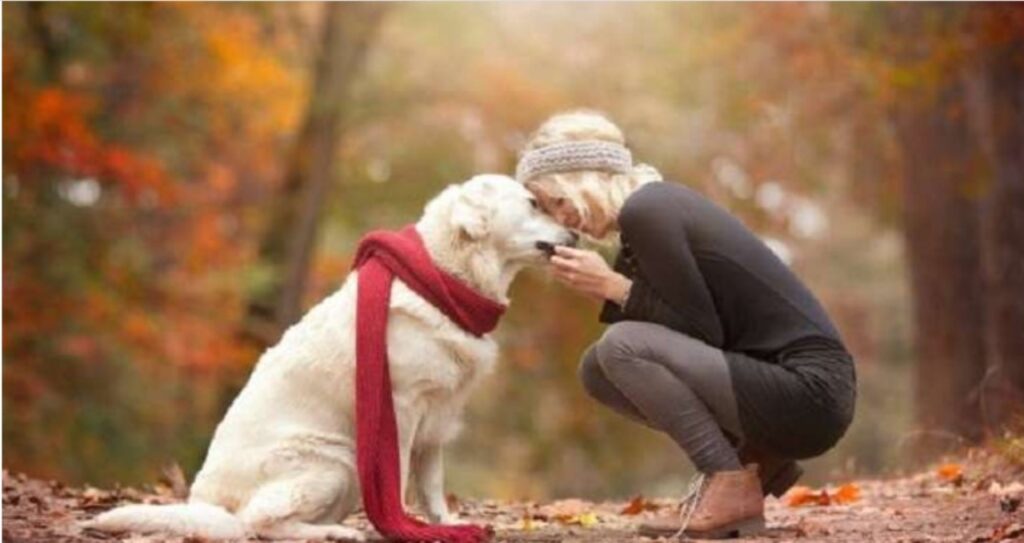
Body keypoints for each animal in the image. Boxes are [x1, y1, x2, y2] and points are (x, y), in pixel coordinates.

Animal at [86, 175, 577, 536]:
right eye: (533, 204)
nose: (575, 232)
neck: (444, 279)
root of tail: (207, 504)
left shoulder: (437, 417)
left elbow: (433, 484)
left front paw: (446, 525)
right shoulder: (401, 408)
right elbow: (398, 479)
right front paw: (402, 525)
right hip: (334, 461)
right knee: (256, 524)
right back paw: (335, 532)